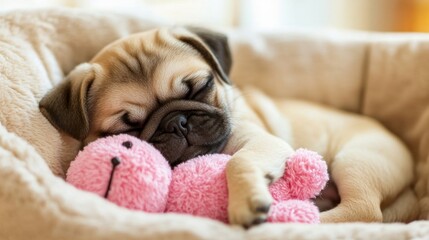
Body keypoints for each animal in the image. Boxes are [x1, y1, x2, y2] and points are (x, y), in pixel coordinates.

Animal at [37, 27, 418, 226]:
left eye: (200, 87)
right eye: (129, 127)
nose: (178, 122)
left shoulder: (262, 141)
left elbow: (239, 161)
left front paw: (247, 202)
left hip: (355, 160)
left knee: (364, 211)